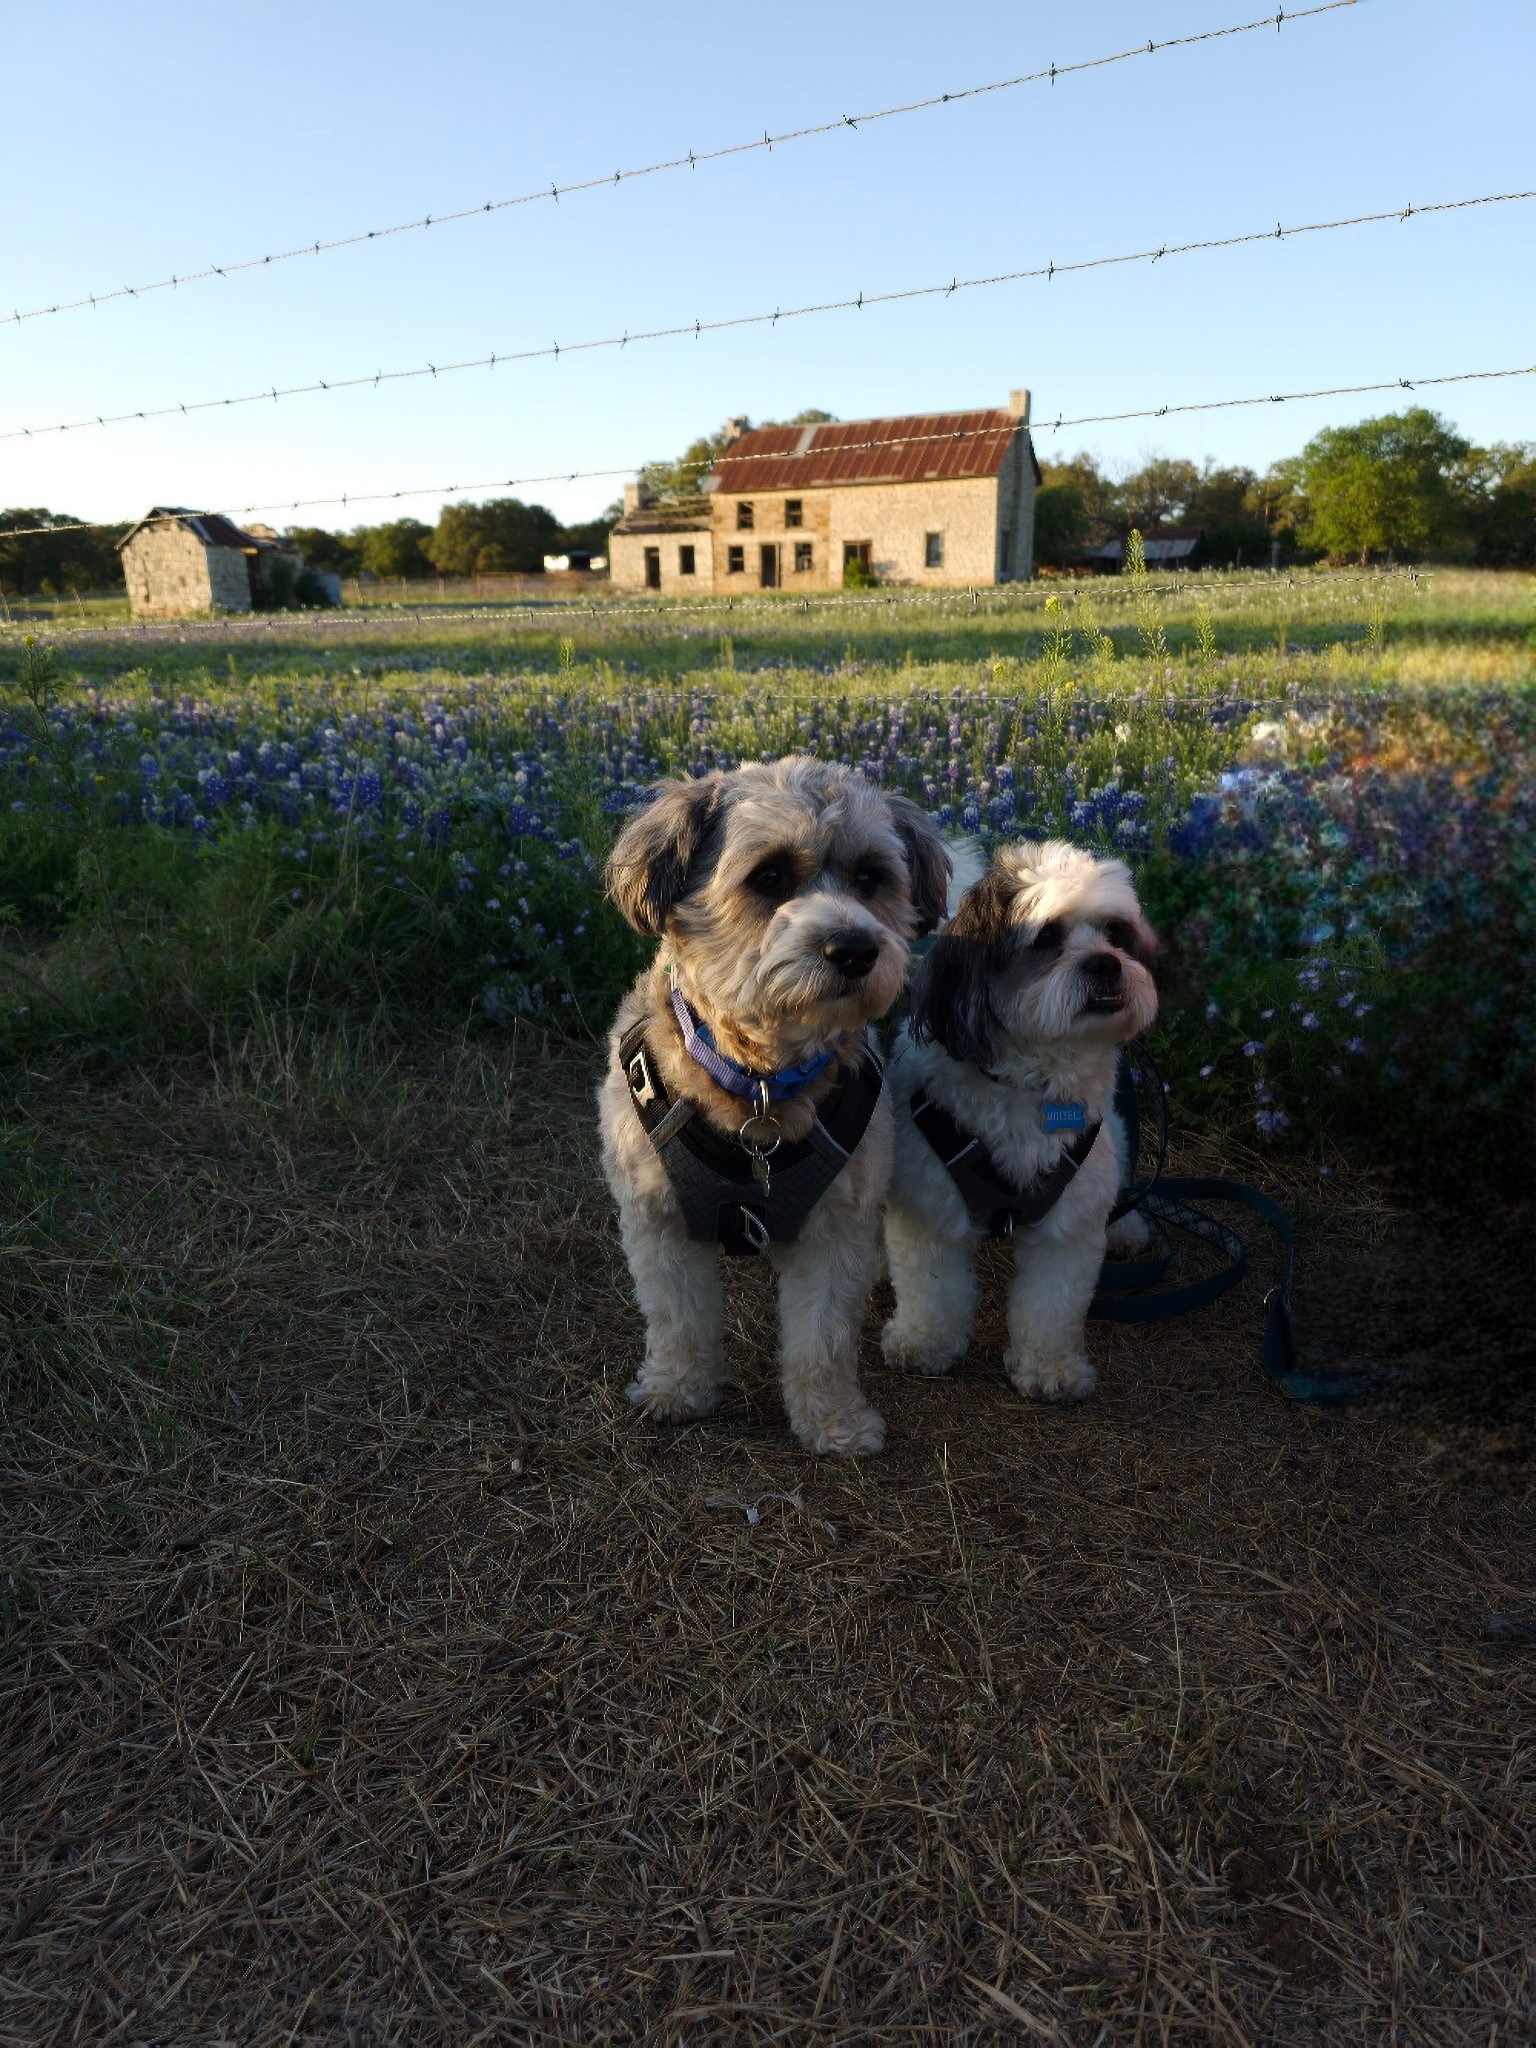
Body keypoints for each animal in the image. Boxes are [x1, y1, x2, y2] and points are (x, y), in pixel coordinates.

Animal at [602, 757, 950, 1458]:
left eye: (870, 878)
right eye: (768, 877)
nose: (855, 949)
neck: (761, 1084)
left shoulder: (836, 1225)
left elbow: (823, 1338)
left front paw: (833, 1420)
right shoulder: (658, 1219)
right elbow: (680, 1319)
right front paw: (679, 1390)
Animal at [884, 839, 1163, 1400]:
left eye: (1116, 934)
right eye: (1048, 937)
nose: (1107, 964)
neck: (1031, 1083)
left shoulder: (1068, 1226)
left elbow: (1051, 1305)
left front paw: (1051, 1369)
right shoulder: (927, 1207)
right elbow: (931, 1289)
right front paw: (923, 1344)